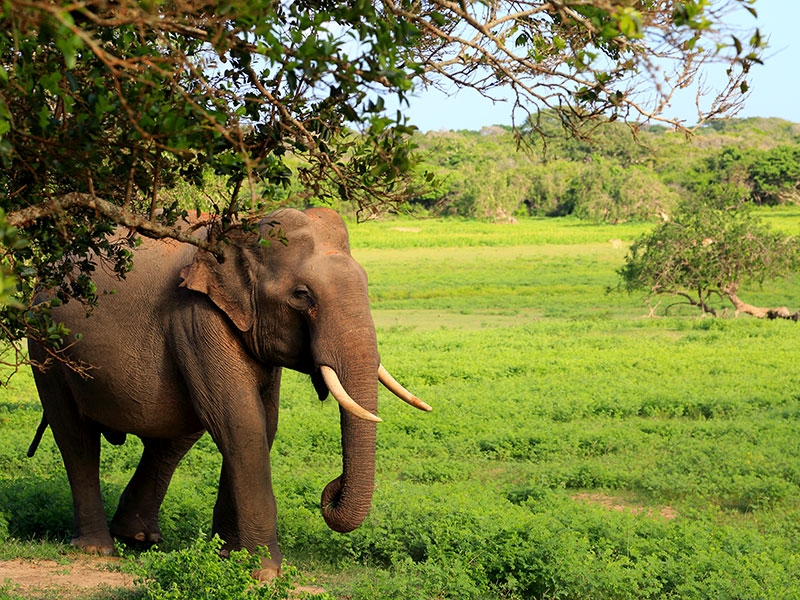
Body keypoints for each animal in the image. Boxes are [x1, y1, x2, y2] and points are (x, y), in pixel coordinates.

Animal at [26, 207, 430, 579]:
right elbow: (241, 422)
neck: (243, 234)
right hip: (46, 344)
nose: (332, 488)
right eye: (302, 295)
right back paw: (97, 549)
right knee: (75, 436)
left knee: (173, 439)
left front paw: (230, 558)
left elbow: (262, 424)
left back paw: (137, 538)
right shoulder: (196, 316)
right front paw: (265, 572)